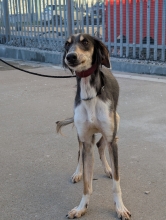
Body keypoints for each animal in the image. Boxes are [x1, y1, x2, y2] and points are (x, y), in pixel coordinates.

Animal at [56, 33, 130, 219]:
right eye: (67, 44)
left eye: (85, 42)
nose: (70, 57)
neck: (90, 93)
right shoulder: (86, 141)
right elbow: (87, 185)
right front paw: (81, 207)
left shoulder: (111, 139)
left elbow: (116, 183)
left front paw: (120, 208)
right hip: (81, 135)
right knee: (80, 152)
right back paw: (78, 172)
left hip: (115, 123)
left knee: (101, 145)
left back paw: (109, 169)